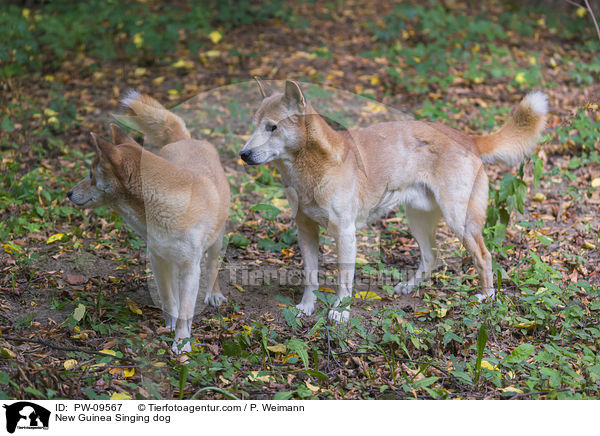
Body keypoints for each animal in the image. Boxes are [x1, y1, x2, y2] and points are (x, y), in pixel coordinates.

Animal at [68, 92, 230, 350]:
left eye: (91, 175)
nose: (69, 193)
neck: (163, 205)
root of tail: (185, 140)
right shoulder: (157, 259)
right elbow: (168, 298)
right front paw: (170, 324)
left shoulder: (190, 267)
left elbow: (186, 308)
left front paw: (182, 343)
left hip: (217, 239)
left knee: (213, 265)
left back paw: (214, 294)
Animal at [240, 80, 548, 322]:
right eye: (254, 126)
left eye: (272, 127)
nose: (243, 154)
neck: (311, 168)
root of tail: (468, 138)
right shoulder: (305, 229)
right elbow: (310, 275)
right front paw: (306, 307)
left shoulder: (345, 233)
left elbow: (343, 281)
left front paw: (341, 312)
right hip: (417, 218)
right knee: (431, 256)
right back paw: (409, 288)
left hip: (458, 221)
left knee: (484, 257)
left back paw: (486, 298)